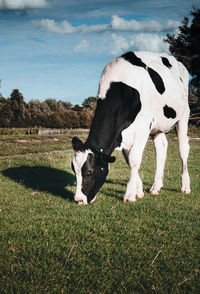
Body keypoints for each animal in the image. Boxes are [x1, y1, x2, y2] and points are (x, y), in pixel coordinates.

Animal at [71, 51, 191, 204]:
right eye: (74, 170)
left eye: (89, 171)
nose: (78, 199)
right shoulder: (123, 133)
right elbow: (129, 160)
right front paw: (138, 191)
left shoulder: (143, 127)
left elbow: (134, 160)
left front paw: (129, 195)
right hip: (158, 126)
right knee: (161, 148)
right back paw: (156, 186)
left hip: (184, 115)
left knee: (183, 149)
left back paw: (185, 187)